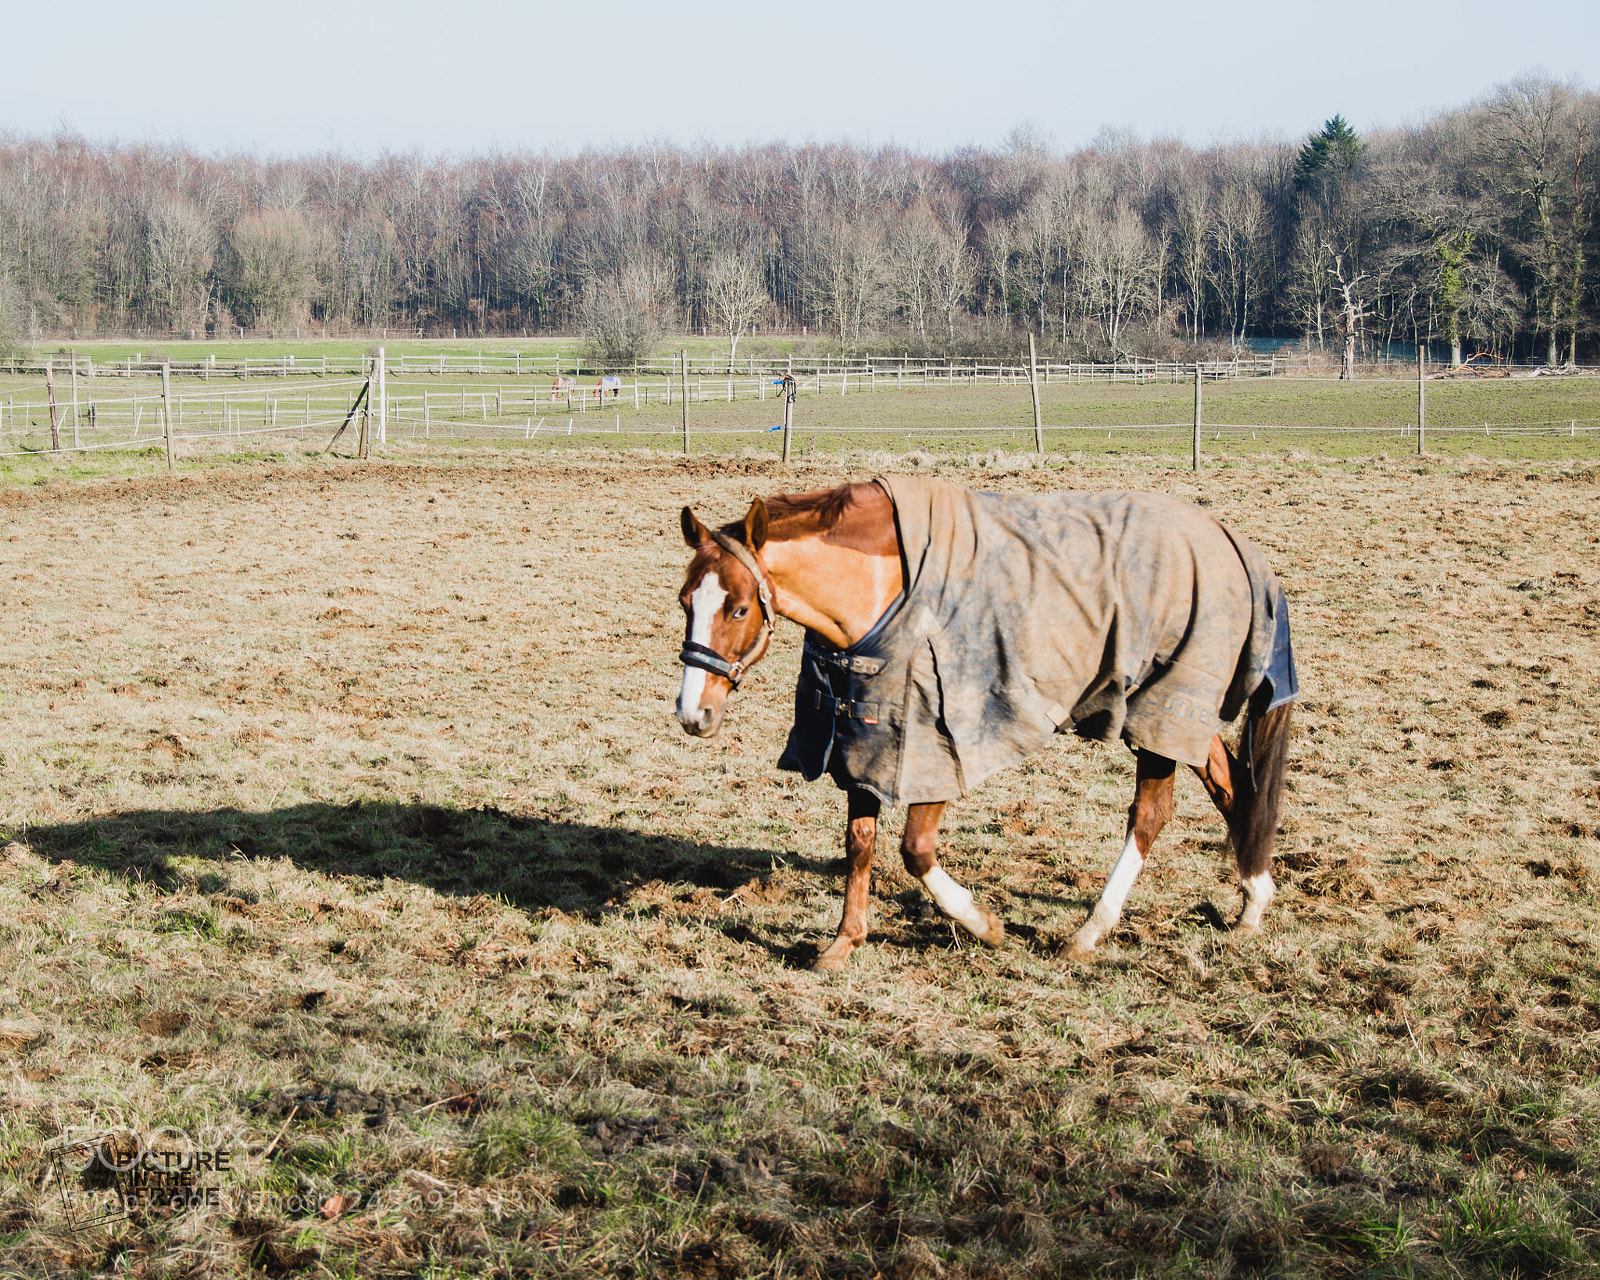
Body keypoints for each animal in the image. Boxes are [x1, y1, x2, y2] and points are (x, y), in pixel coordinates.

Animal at [674, 478, 1297, 974]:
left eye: (738, 608)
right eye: (686, 601)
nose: (692, 713)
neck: (886, 588)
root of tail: (1234, 545)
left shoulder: (935, 743)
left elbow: (915, 850)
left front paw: (984, 925)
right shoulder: (864, 736)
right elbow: (859, 841)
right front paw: (845, 942)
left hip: (1161, 713)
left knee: (1150, 815)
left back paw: (1090, 932)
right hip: (1176, 717)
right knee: (1231, 786)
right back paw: (1252, 901)